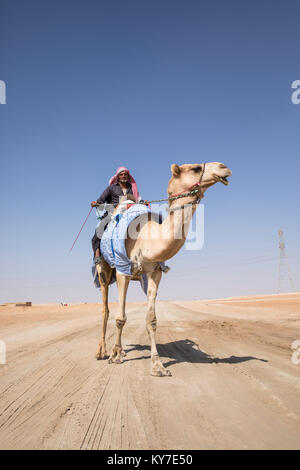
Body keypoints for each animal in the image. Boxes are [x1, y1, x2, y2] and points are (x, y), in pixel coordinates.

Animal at [95, 162, 231, 374]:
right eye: (195, 168)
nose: (224, 167)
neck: (145, 238)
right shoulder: (123, 270)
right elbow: (120, 317)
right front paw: (115, 355)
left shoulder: (155, 272)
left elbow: (151, 320)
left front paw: (157, 365)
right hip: (105, 270)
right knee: (105, 309)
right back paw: (102, 351)